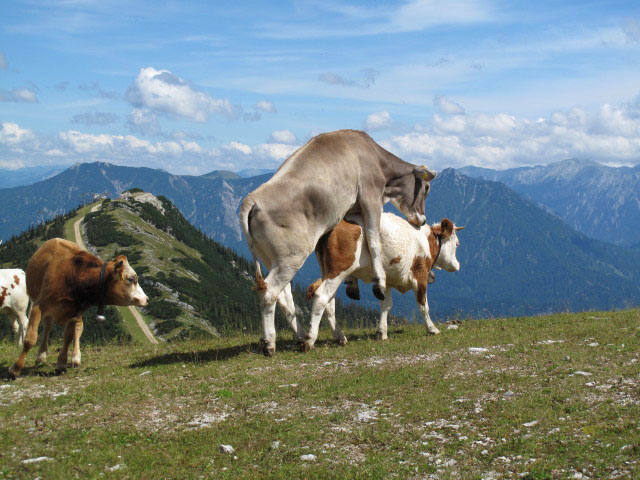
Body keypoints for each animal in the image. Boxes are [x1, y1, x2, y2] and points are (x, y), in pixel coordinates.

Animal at [7, 237, 148, 378]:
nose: (146, 299)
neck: (75, 278)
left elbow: (68, 338)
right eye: (131, 279)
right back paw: (41, 356)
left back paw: (75, 357)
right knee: (47, 327)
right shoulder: (38, 306)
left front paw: (61, 364)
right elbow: (30, 339)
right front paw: (15, 368)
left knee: (78, 329)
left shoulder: (74, 313)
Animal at [238, 129, 438, 354]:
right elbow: (373, 239)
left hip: (271, 258)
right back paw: (271, 343)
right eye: (427, 188)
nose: (423, 220)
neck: (375, 158)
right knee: (270, 292)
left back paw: (301, 336)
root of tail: (252, 199)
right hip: (291, 256)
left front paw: (352, 284)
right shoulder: (370, 196)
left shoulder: (350, 210)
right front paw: (379, 282)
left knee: (284, 295)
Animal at [302, 211, 462, 348]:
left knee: (329, 303)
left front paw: (382, 333)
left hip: (327, 270)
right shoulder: (419, 275)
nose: (457, 265)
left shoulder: (388, 280)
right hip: (338, 270)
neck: (425, 241)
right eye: (457, 244)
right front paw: (432, 329)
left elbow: (386, 305)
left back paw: (340, 337)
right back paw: (309, 340)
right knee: (322, 297)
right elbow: (423, 305)